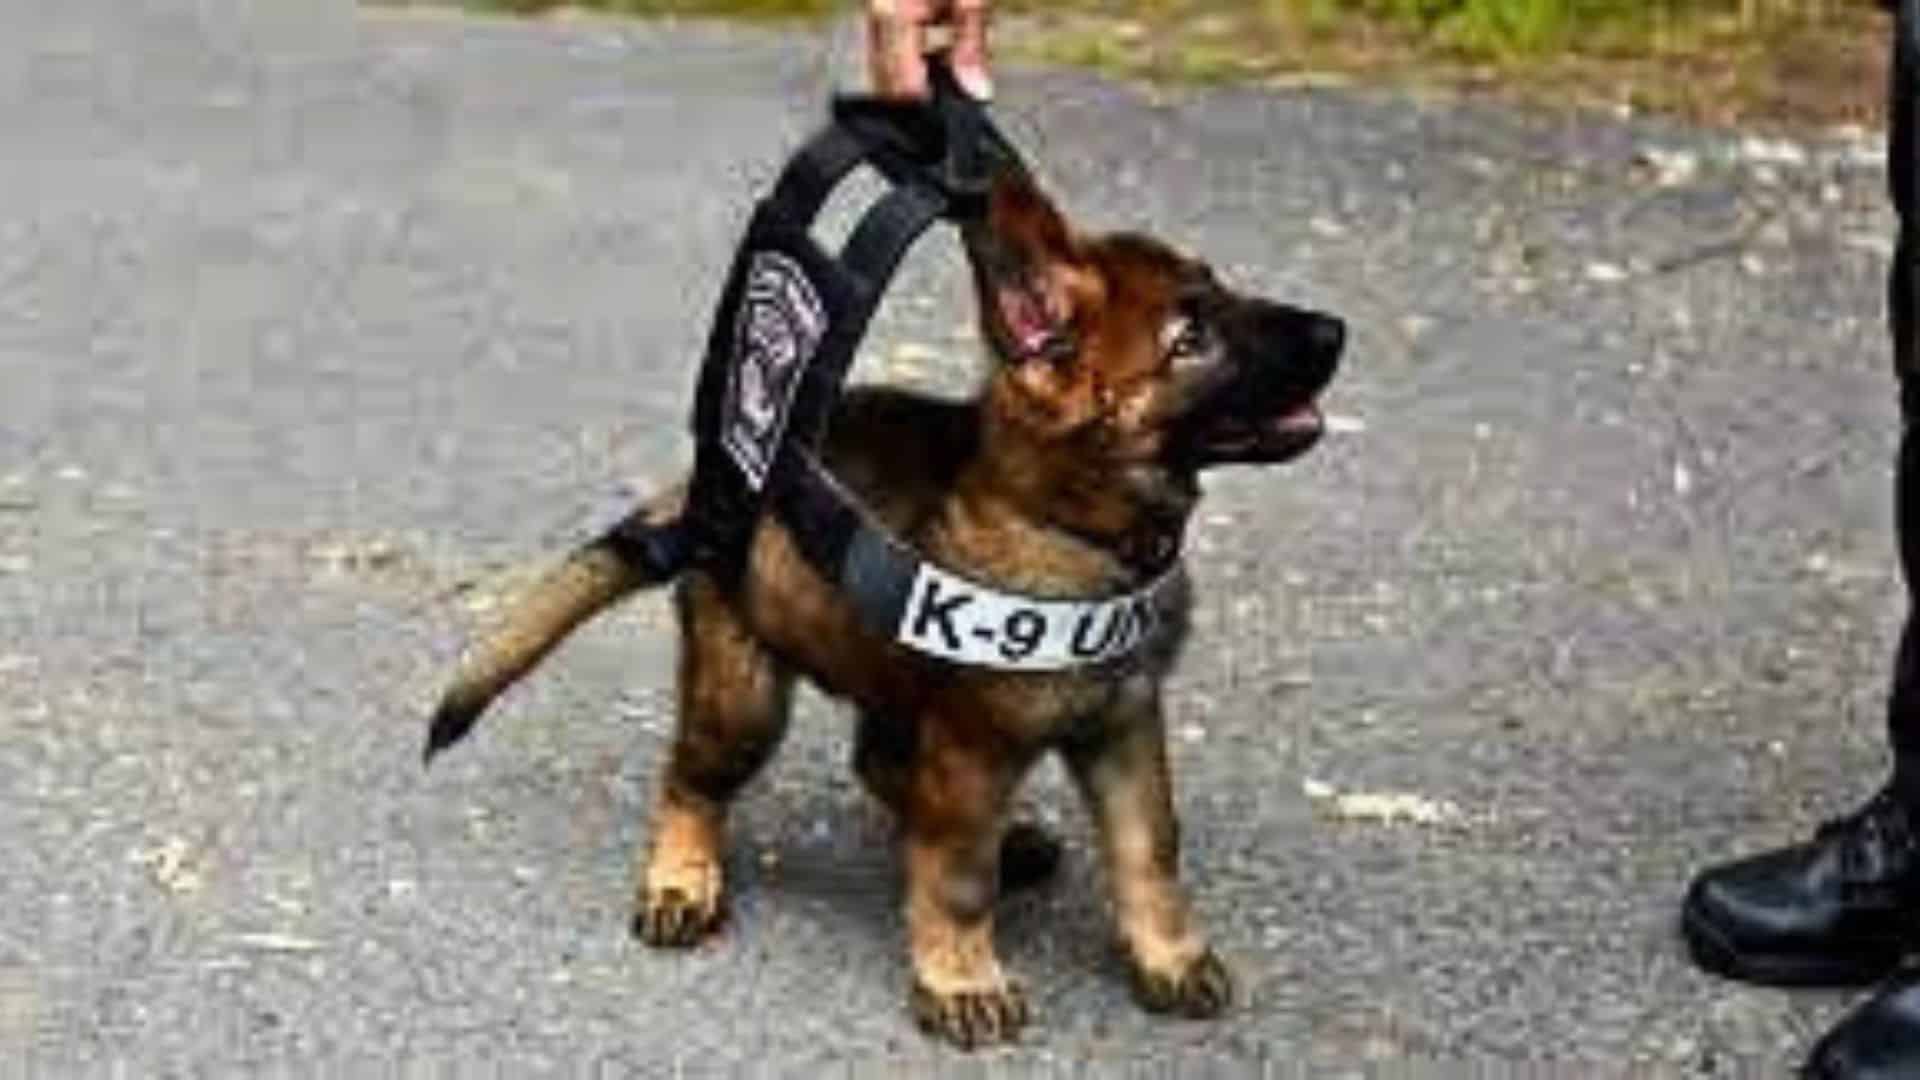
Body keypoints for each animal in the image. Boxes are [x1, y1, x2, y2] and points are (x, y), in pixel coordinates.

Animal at [428, 170, 1344, 1045]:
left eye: (1218, 287)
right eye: (1191, 341)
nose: (1336, 330)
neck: (1070, 527)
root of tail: (709, 487)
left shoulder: (1123, 722)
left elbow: (1150, 846)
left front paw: (1169, 955)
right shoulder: (974, 745)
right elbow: (960, 877)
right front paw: (962, 978)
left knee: (881, 766)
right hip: (745, 697)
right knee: (693, 780)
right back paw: (682, 878)